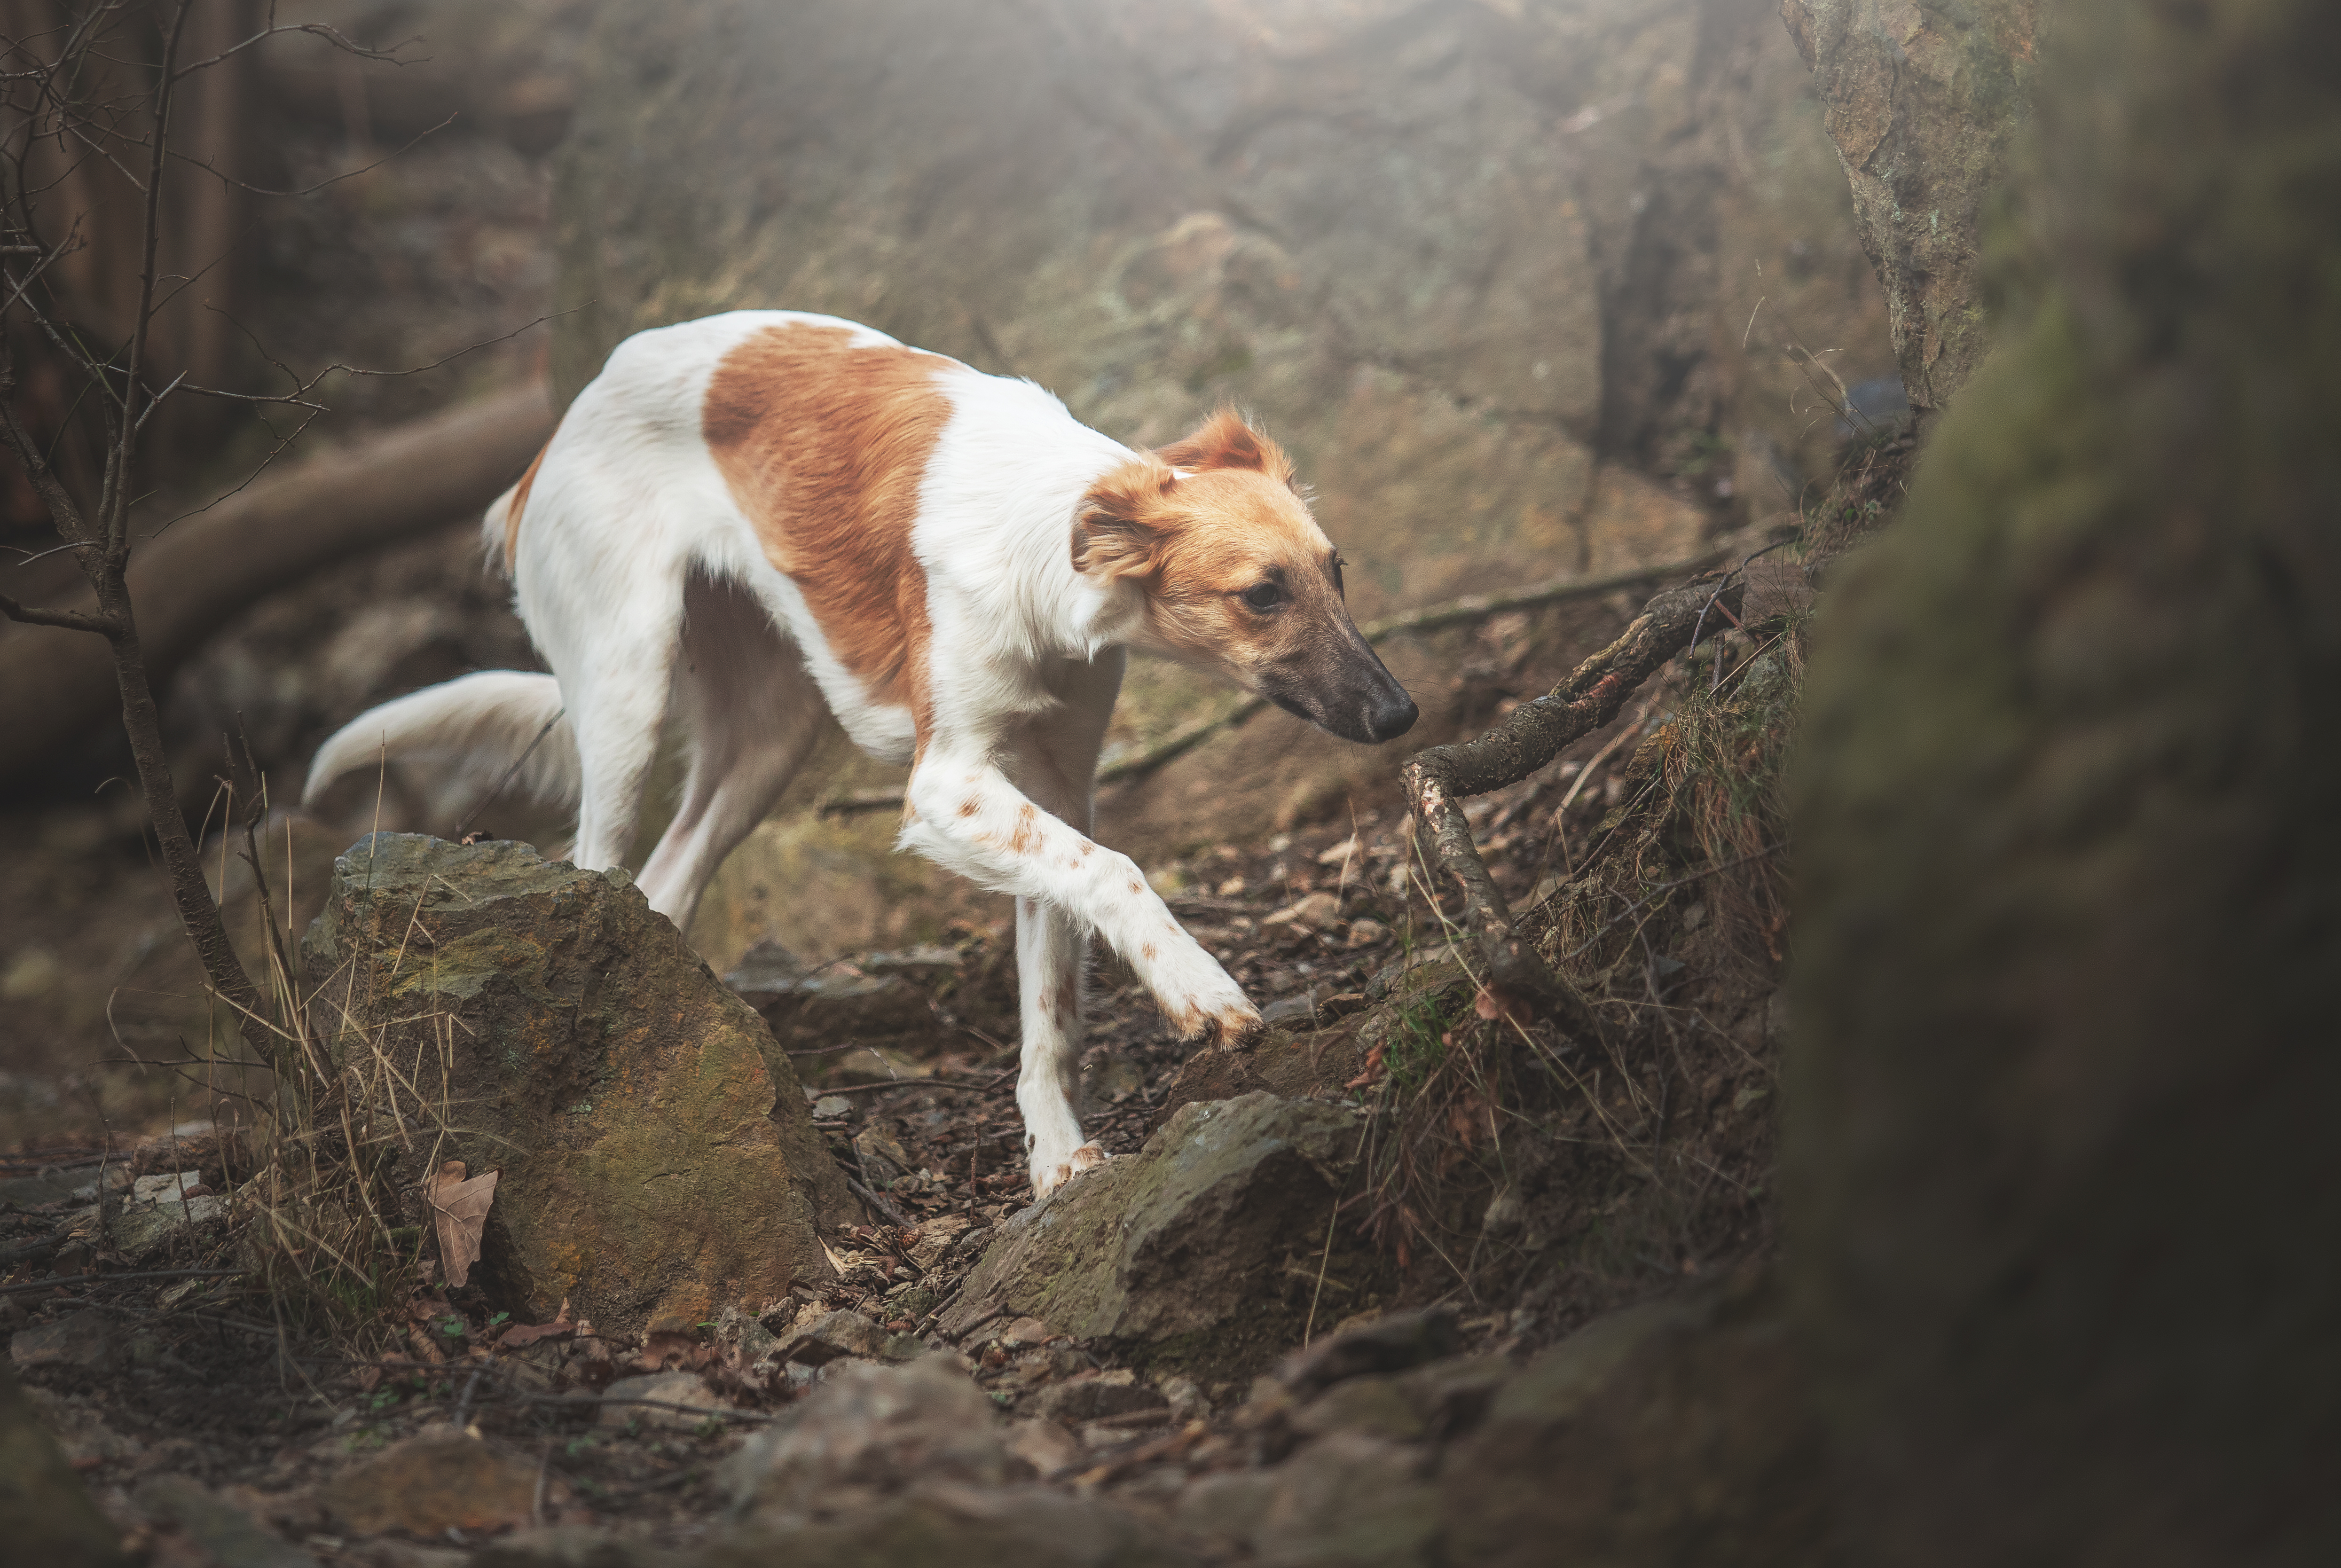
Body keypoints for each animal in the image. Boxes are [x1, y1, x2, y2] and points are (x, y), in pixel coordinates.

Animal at [304, 316, 1414, 1207]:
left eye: (1337, 572)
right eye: (1262, 595)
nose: (1401, 713)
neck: (1046, 536)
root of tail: (550, 438)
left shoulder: (1051, 784)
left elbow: (1052, 997)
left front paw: (1057, 1155)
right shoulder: (948, 785)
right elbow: (1120, 872)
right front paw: (1201, 991)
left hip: (768, 736)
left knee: (666, 882)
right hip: (627, 694)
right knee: (598, 869)